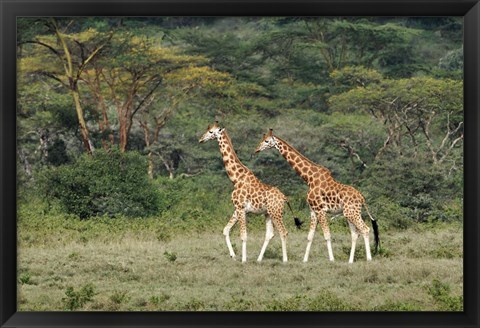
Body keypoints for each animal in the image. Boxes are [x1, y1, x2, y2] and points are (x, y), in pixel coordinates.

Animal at [198, 121, 290, 262]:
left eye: (211, 131)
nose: (201, 139)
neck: (236, 178)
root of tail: (284, 198)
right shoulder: (238, 209)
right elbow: (226, 230)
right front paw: (233, 255)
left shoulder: (240, 208)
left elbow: (243, 235)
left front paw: (243, 260)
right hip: (268, 213)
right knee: (270, 234)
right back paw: (259, 259)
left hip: (276, 212)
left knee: (283, 232)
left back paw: (285, 260)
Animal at [255, 129, 378, 264]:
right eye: (262, 139)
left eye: (267, 141)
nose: (256, 149)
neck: (309, 178)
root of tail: (362, 198)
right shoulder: (313, 211)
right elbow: (310, 236)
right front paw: (304, 260)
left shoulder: (320, 210)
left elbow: (327, 235)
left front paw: (331, 259)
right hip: (349, 213)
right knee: (356, 234)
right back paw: (350, 261)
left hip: (351, 212)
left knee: (365, 229)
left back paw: (369, 259)